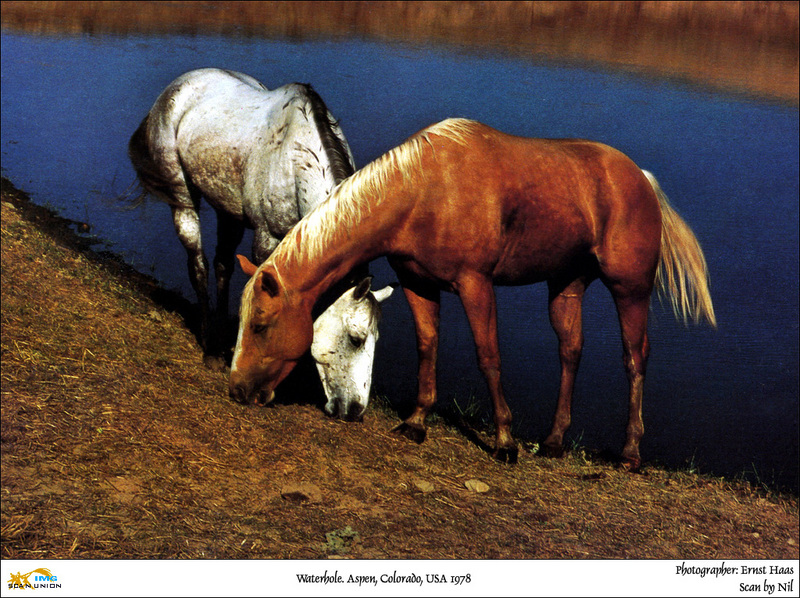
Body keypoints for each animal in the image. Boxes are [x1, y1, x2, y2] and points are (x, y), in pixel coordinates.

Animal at [129, 69, 390, 418]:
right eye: (356, 338)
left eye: (376, 338)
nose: (353, 410)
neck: (295, 160)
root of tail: (180, 85)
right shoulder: (267, 238)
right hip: (183, 198)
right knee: (198, 265)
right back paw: (210, 348)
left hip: (228, 211)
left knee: (223, 265)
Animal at [228, 117, 716, 472]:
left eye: (261, 325)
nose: (238, 389)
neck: (424, 190)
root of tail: (640, 178)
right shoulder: (419, 284)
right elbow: (428, 346)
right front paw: (417, 422)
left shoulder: (475, 283)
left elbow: (489, 356)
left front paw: (505, 443)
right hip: (566, 286)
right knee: (571, 352)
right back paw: (554, 441)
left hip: (629, 290)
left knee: (635, 358)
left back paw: (630, 454)